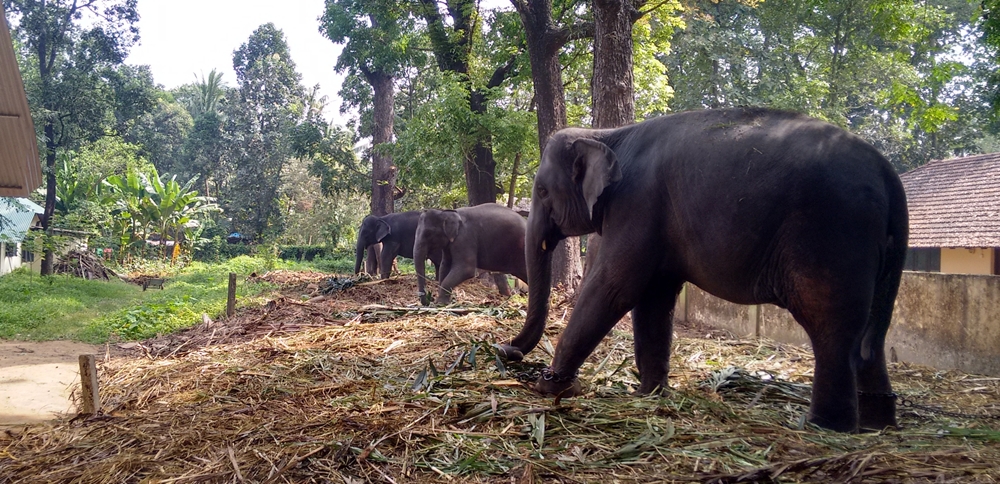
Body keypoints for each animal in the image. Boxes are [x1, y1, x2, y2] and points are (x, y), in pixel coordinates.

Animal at [496, 108, 912, 432]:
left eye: (543, 191)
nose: (506, 350)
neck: (607, 134)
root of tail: (889, 174)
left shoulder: (636, 204)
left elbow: (615, 287)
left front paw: (550, 388)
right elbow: (654, 298)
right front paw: (649, 395)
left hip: (833, 234)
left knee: (831, 326)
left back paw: (825, 426)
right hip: (877, 253)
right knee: (870, 334)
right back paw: (878, 423)